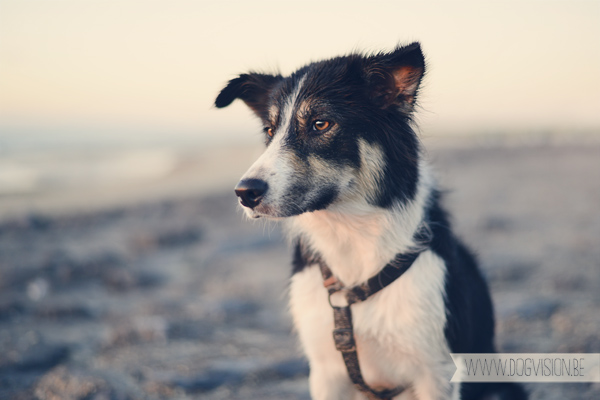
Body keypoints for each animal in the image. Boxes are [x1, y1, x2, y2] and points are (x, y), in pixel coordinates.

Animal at [214, 43, 524, 400]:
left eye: (321, 124)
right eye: (269, 130)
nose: (244, 193)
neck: (351, 238)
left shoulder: (438, 370)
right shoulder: (326, 371)